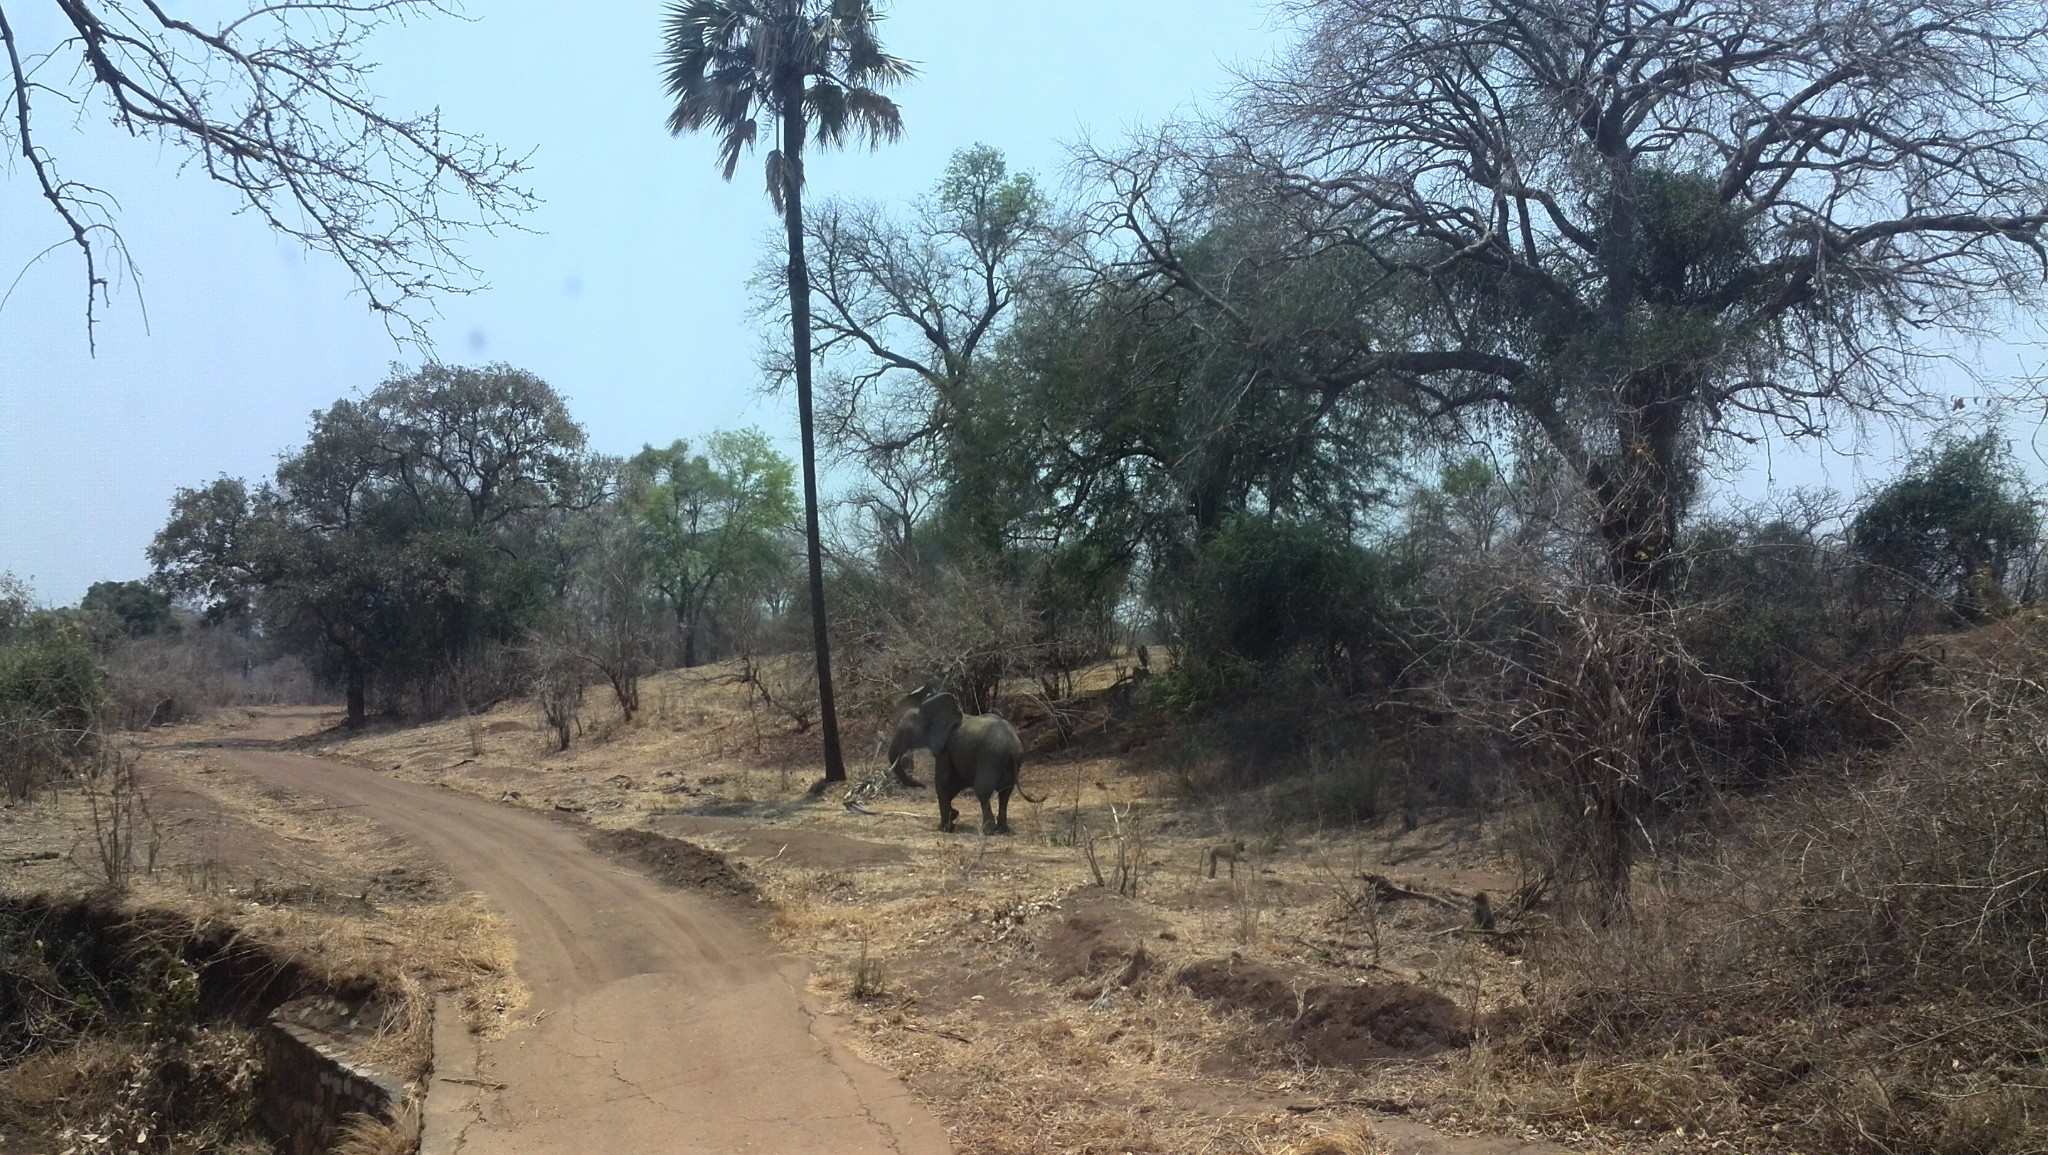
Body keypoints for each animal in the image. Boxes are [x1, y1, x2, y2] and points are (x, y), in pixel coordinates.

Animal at [884, 692, 1040, 835]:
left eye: (908, 732)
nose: (923, 786)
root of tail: (1013, 746)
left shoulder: (945, 748)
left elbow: (943, 781)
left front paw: (945, 828)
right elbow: (956, 783)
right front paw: (954, 815)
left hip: (990, 758)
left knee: (983, 789)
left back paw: (988, 830)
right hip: (1010, 762)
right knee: (1005, 792)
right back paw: (1003, 829)